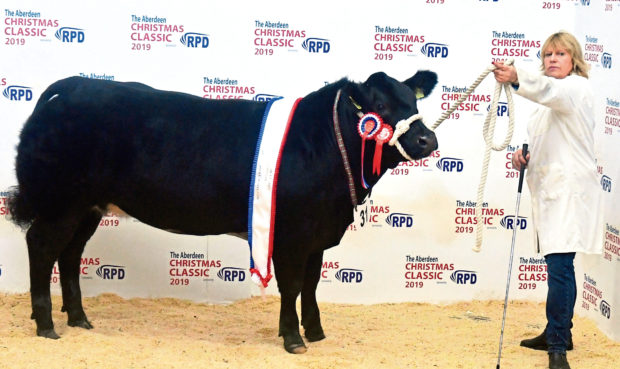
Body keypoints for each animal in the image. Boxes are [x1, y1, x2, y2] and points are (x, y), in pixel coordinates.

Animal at [8, 70, 436, 352]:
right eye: (379, 105)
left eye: (414, 102)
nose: (426, 139)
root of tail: (72, 85)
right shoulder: (292, 234)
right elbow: (293, 286)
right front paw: (293, 339)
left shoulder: (317, 235)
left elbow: (312, 285)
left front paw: (315, 333)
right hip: (62, 202)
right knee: (41, 246)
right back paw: (47, 325)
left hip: (88, 207)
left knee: (70, 254)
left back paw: (79, 318)